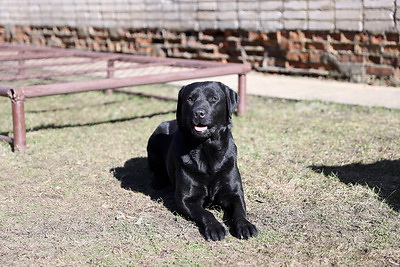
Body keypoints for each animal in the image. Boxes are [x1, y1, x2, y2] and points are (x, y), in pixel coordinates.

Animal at [146, 81, 256, 243]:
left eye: (213, 98)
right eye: (190, 99)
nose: (198, 113)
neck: (206, 148)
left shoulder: (235, 193)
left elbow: (239, 211)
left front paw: (245, 225)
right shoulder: (186, 199)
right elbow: (206, 213)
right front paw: (215, 227)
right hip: (154, 138)